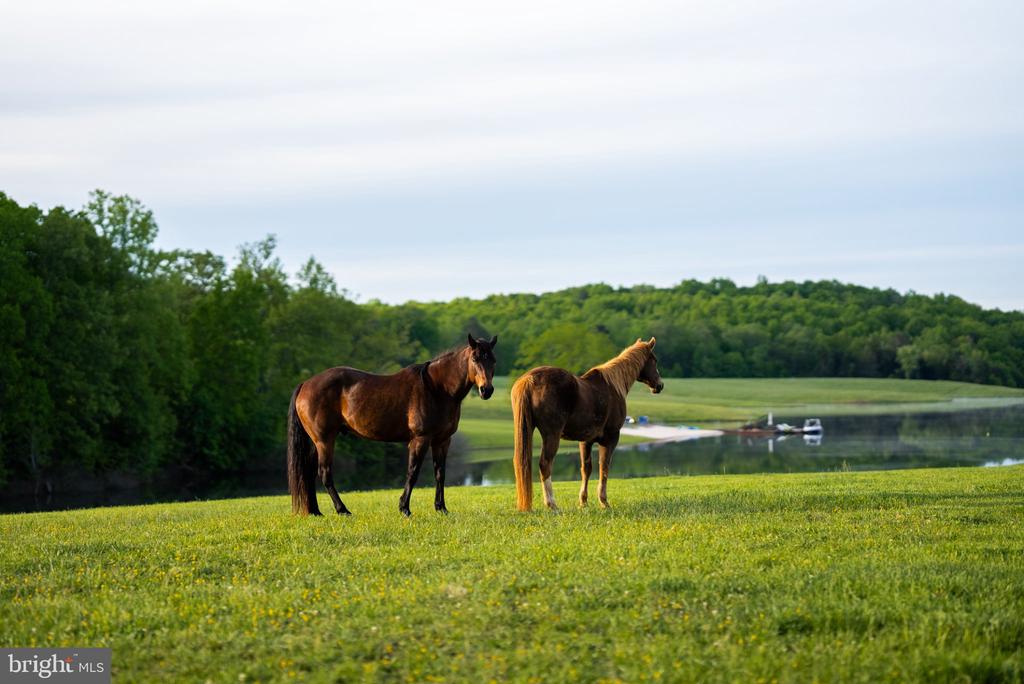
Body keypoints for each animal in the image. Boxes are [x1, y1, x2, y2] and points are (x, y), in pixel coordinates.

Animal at [287, 334, 498, 517]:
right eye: (474, 359)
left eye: (493, 360)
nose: (486, 390)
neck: (436, 389)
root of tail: (305, 384)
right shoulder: (420, 439)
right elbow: (413, 472)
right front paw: (404, 508)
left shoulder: (442, 441)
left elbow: (440, 473)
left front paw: (441, 508)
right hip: (325, 440)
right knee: (324, 473)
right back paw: (342, 510)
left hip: (317, 442)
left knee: (309, 472)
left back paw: (315, 511)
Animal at [510, 337, 663, 512]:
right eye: (654, 360)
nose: (659, 385)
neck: (613, 386)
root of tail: (530, 380)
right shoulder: (610, 438)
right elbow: (604, 467)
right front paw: (604, 501)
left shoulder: (585, 441)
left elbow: (586, 469)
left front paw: (583, 501)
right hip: (551, 435)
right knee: (545, 464)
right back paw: (552, 504)